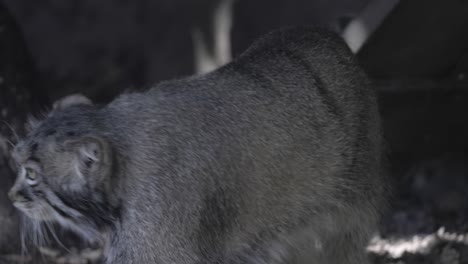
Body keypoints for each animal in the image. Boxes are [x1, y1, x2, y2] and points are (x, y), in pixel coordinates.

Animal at [8, 25, 388, 262]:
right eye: (18, 163)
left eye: (31, 174)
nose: (11, 196)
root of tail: (326, 34)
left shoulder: (154, 247)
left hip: (353, 215)